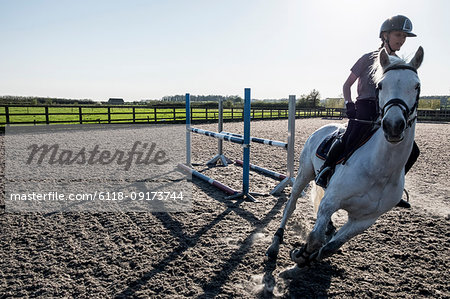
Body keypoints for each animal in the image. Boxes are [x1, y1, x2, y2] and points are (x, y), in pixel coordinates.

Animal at [268, 47, 424, 268]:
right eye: (381, 85)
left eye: (417, 86)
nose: (393, 125)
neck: (379, 169)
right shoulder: (331, 202)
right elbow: (315, 238)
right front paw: (300, 255)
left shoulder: (364, 220)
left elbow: (331, 246)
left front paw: (312, 254)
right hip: (303, 173)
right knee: (290, 206)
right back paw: (275, 244)